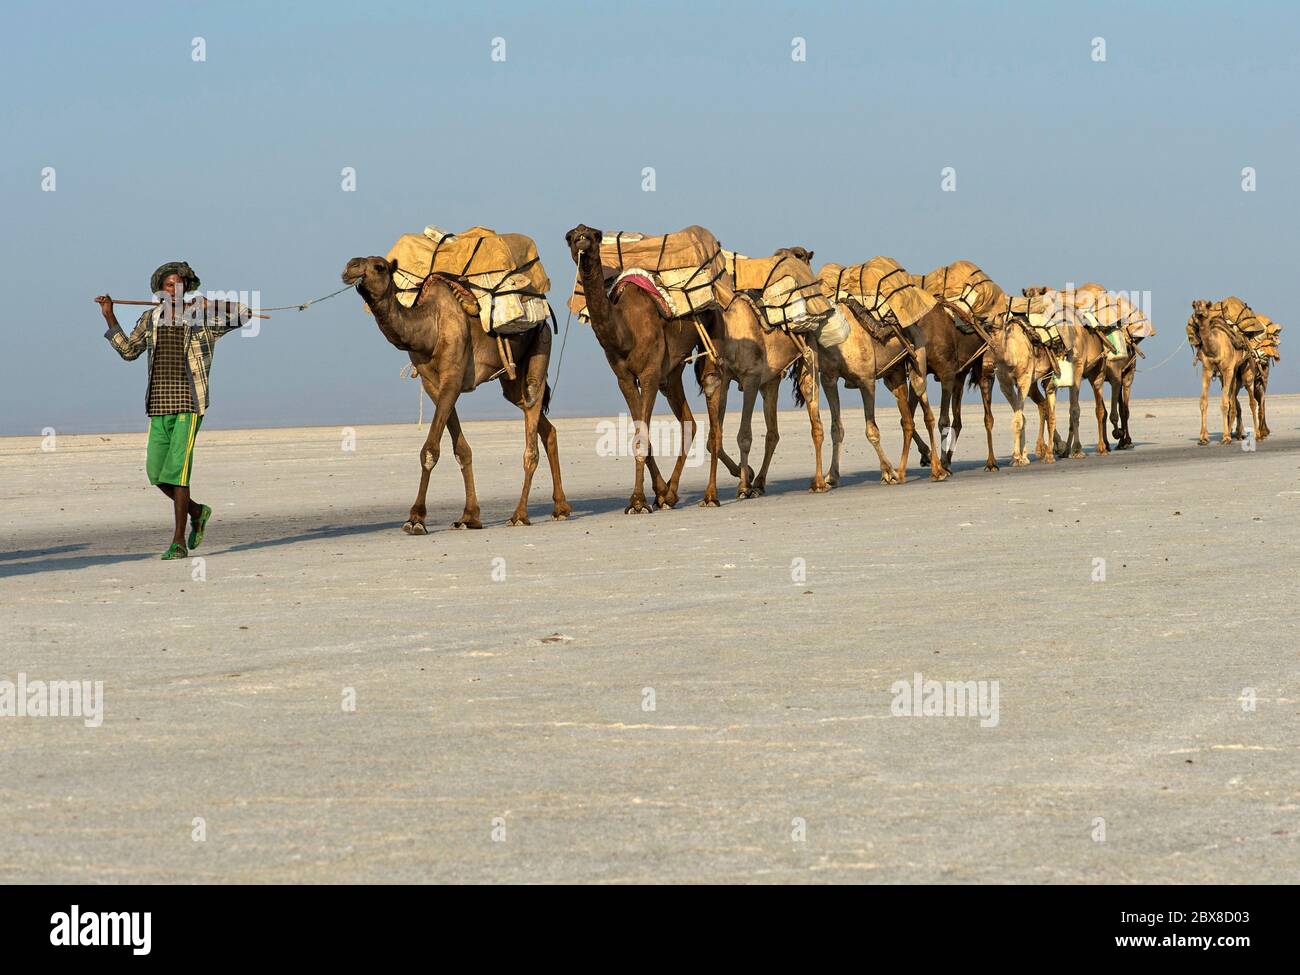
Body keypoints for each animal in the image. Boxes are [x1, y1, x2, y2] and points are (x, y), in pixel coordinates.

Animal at [343, 257, 572, 535]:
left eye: (379, 266)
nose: (350, 267)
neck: (429, 326)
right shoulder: (432, 384)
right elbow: (461, 450)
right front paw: (469, 517)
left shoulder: (452, 379)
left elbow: (430, 449)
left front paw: (416, 518)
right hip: (511, 379)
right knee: (544, 425)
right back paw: (561, 508)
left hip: (541, 344)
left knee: (532, 411)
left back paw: (519, 514)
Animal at [564, 226, 722, 514]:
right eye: (570, 236)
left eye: (594, 234)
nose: (581, 237)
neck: (624, 330)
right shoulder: (625, 377)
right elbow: (641, 434)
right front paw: (658, 494)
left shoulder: (648, 374)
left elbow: (642, 436)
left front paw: (638, 502)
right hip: (671, 373)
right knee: (688, 422)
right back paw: (672, 493)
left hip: (713, 328)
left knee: (712, 396)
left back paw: (710, 495)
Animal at [702, 248, 821, 499]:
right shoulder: (726, 379)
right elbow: (713, 439)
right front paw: (745, 474)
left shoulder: (751, 378)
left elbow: (744, 436)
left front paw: (743, 486)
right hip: (771, 383)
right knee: (773, 433)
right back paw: (759, 482)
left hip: (807, 362)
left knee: (814, 421)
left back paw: (818, 482)